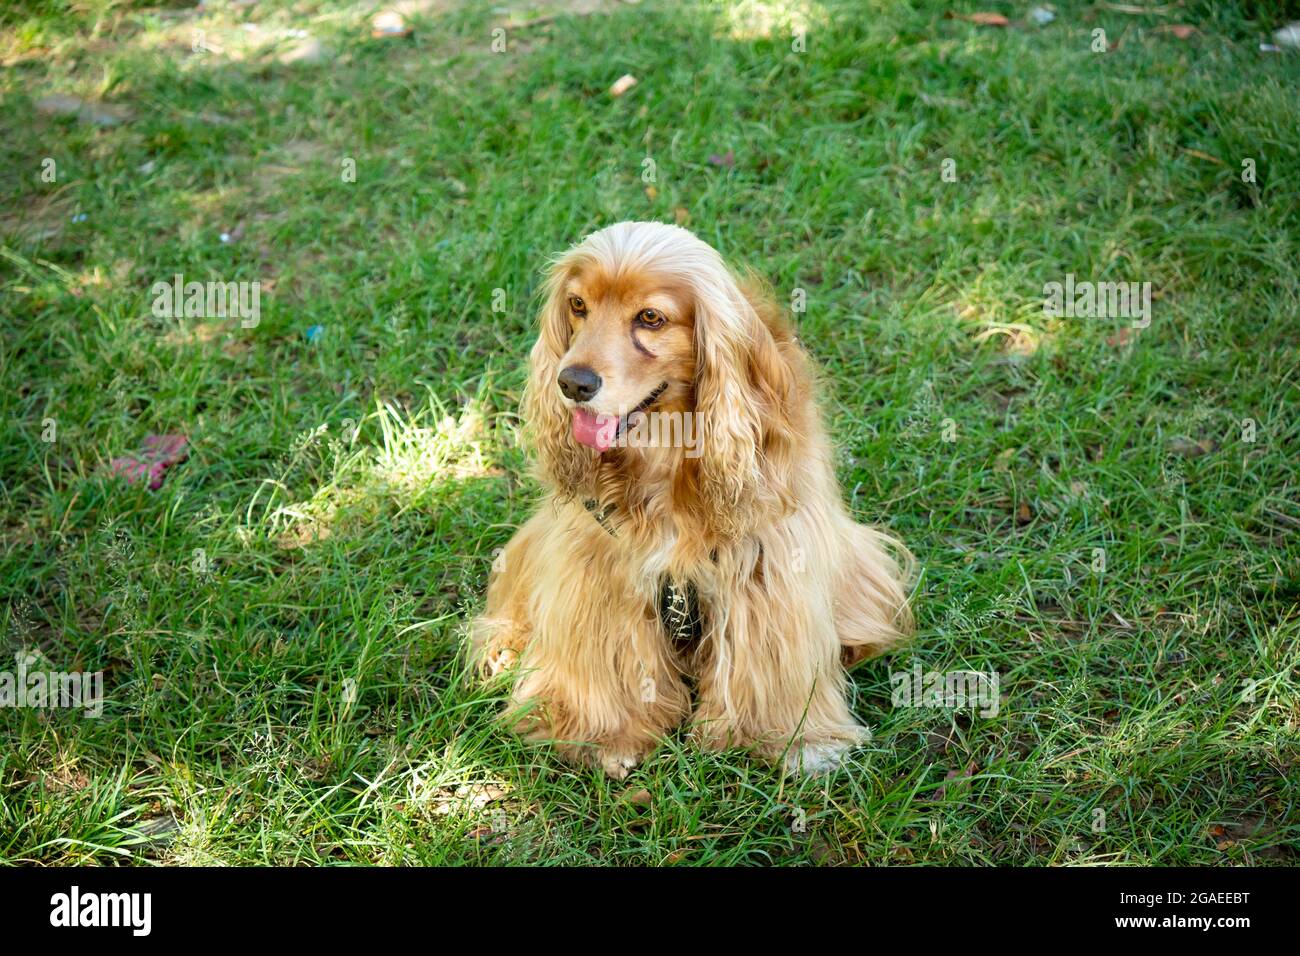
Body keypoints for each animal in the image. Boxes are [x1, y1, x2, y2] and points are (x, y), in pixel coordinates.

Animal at [470, 221, 915, 775]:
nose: (571, 382)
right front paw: (601, 735)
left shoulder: (766, 560)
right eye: (577, 305)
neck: (663, 452)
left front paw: (787, 739)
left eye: (650, 317)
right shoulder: (597, 563)